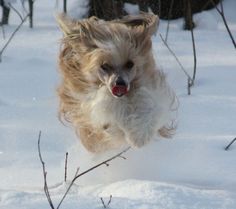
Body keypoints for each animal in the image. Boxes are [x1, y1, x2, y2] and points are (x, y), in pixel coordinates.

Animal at [56, 13, 176, 153]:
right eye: (104, 66)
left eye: (130, 64)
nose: (120, 84)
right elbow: (107, 108)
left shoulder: (150, 89)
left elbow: (147, 106)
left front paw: (139, 136)